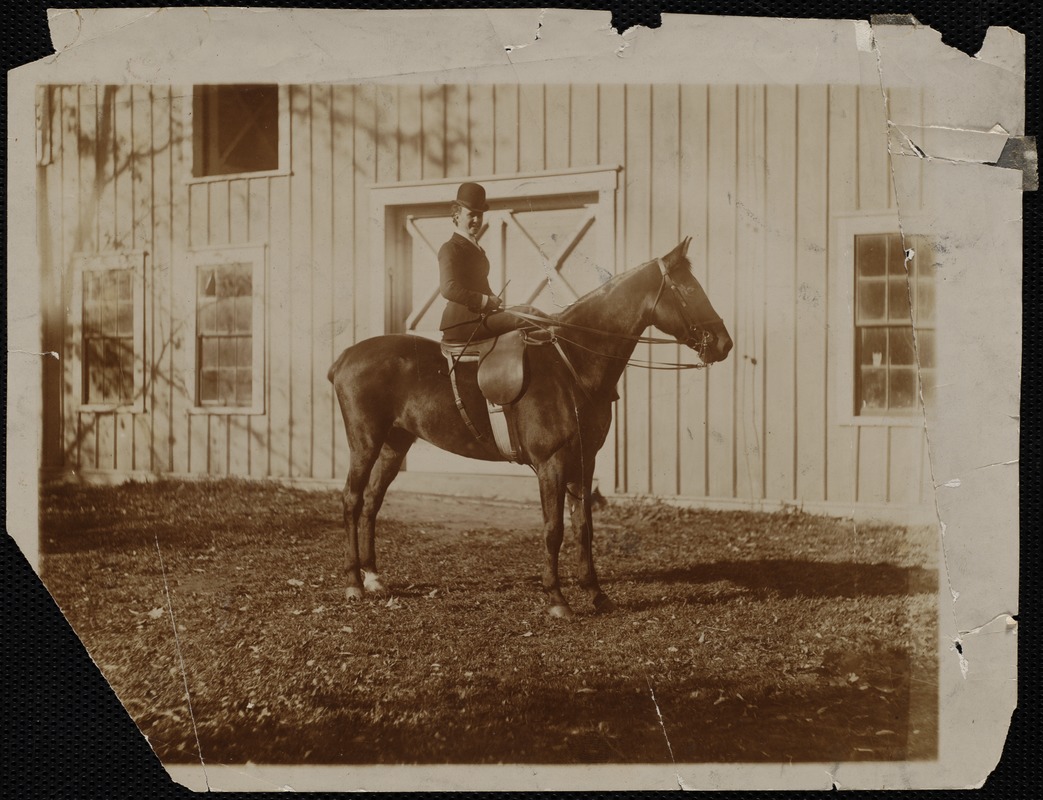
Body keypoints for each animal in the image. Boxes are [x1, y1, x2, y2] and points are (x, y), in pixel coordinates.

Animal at [327, 237, 734, 617]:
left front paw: (595, 592)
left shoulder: (584, 462)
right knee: (351, 500)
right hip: (364, 442)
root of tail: (346, 356)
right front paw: (556, 598)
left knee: (371, 502)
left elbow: (583, 527)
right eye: (691, 290)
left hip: (395, 443)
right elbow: (553, 530)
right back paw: (353, 583)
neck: (572, 362)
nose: (724, 344)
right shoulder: (551, 464)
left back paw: (373, 577)